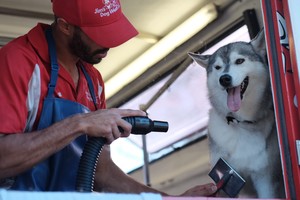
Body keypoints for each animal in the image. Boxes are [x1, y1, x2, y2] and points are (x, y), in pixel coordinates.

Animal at [189, 30, 284, 198]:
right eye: (218, 67)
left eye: (239, 61)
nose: (224, 79)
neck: (239, 122)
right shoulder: (223, 177)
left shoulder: (264, 178)